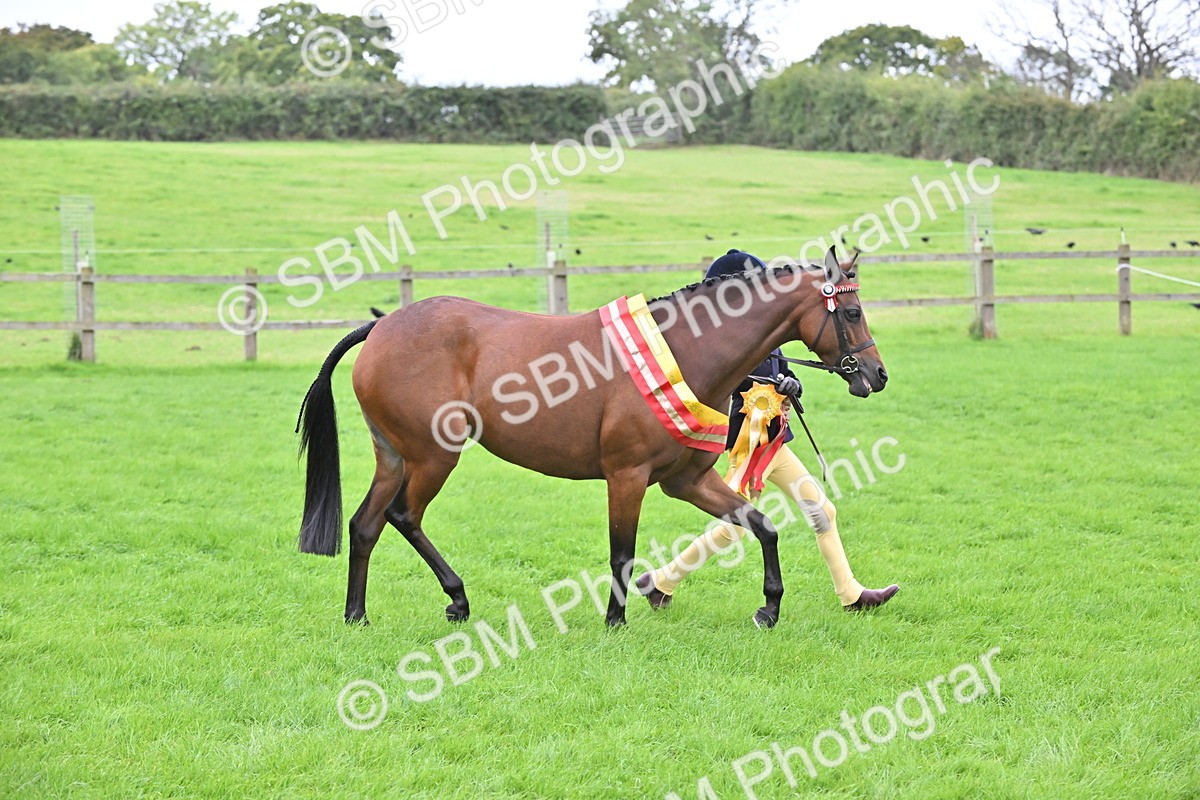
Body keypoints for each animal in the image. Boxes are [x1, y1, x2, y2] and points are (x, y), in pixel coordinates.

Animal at [295, 247, 887, 629]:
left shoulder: (686, 482)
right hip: (433, 457)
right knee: (403, 516)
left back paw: (357, 614)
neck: (682, 351)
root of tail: (382, 326)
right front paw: (615, 619)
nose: (876, 375)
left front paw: (769, 606)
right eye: (853, 311)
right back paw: (457, 600)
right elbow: (621, 552)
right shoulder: (626, 477)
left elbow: (762, 526)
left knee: (366, 525)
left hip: (394, 457)